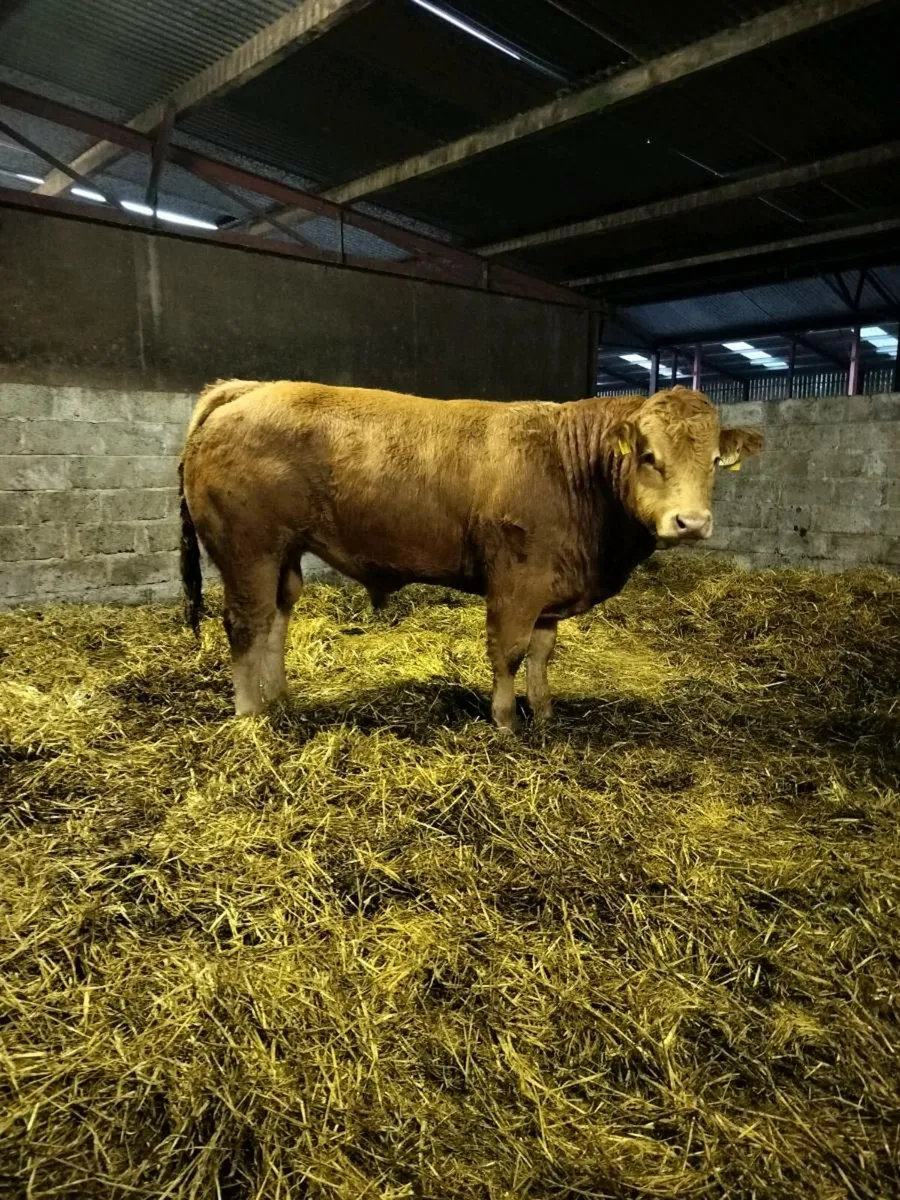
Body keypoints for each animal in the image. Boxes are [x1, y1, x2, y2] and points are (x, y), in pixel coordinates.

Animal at [179, 379, 762, 730]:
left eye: (714, 461)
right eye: (647, 455)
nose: (691, 522)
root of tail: (249, 388)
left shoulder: (551, 586)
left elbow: (542, 654)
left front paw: (544, 714)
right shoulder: (515, 580)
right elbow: (508, 651)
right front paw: (505, 721)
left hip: (285, 551)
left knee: (278, 615)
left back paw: (279, 700)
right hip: (247, 549)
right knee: (246, 623)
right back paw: (251, 717)